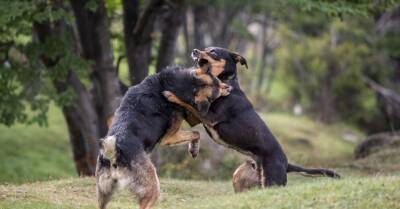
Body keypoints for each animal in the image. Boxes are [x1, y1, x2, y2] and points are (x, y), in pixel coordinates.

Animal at [96, 65, 231, 209]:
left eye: (218, 81)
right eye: (217, 91)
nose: (230, 88)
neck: (184, 84)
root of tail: (114, 153)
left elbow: (195, 133)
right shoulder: (169, 137)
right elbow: (196, 133)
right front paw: (194, 150)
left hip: (104, 194)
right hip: (152, 189)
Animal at [164, 47, 340, 188]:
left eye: (213, 52)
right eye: (204, 48)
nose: (194, 50)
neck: (226, 83)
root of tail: (286, 164)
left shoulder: (209, 115)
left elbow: (188, 103)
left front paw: (171, 94)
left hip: (271, 182)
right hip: (245, 177)